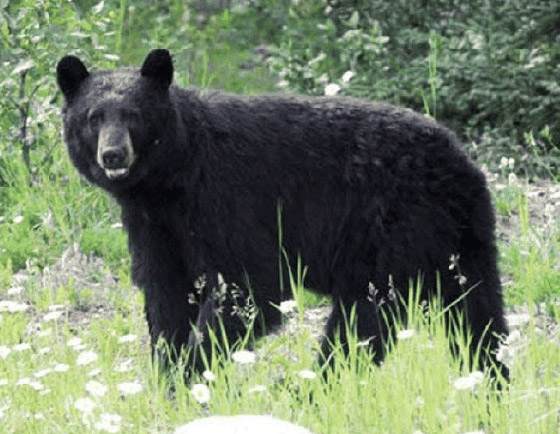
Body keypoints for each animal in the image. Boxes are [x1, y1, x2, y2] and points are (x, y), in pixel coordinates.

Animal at [57, 47, 508, 380]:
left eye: (133, 115)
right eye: (94, 117)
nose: (113, 154)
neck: (171, 178)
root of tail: (462, 163)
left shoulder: (224, 197)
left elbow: (249, 286)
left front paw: (193, 371)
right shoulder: (153, 224)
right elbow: (164, 291)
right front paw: (171, 375)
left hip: (393, 231)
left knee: (363, 320)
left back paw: (311, 388)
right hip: (461, 241)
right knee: (478, 316)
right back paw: (490, 385)